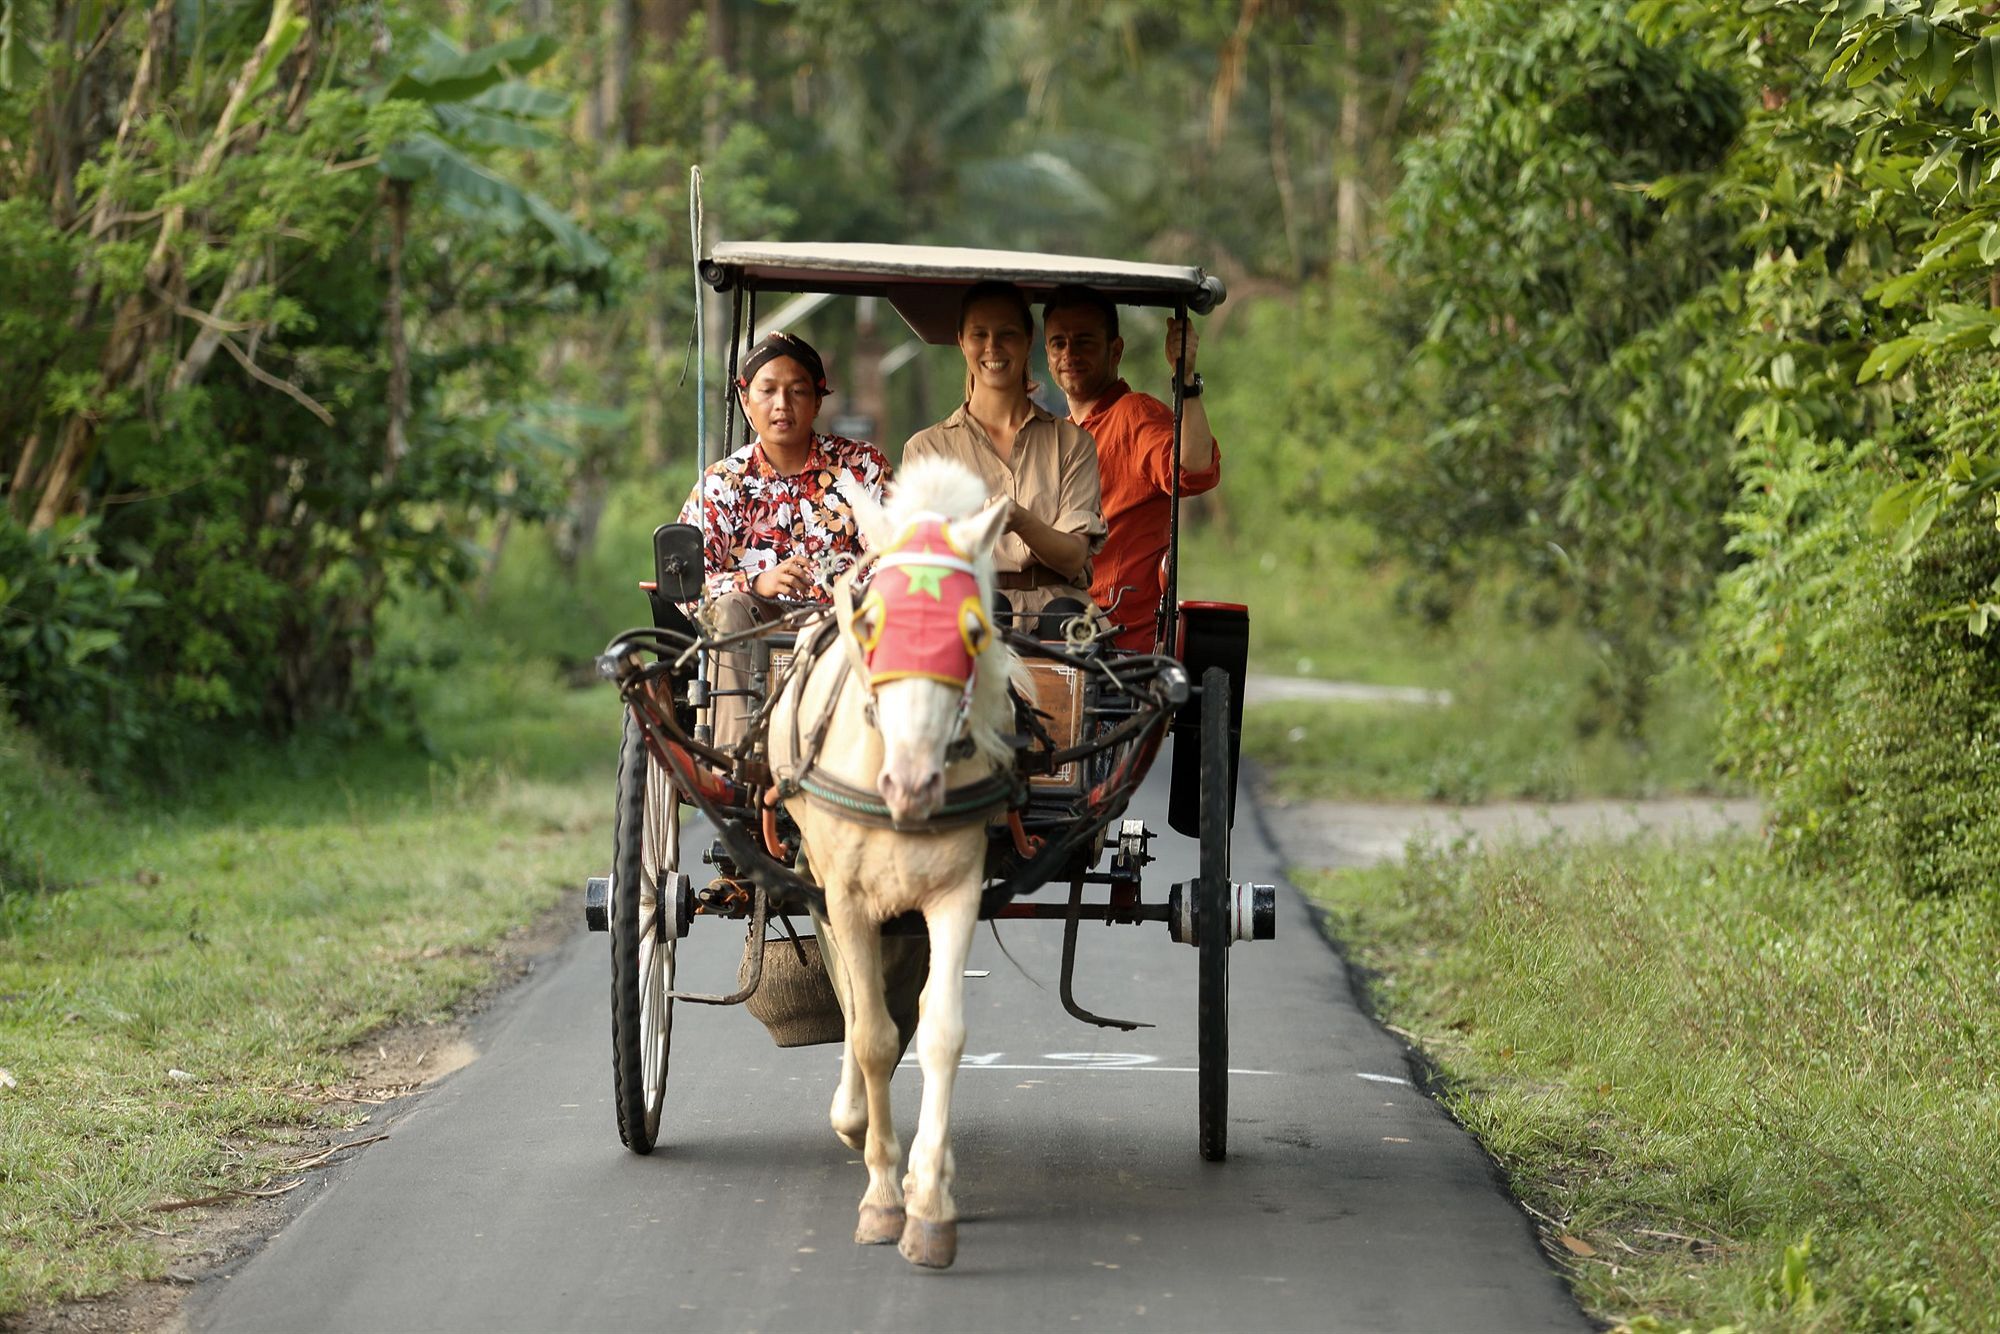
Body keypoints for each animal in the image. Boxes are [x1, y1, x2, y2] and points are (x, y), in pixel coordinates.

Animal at [760, 460, 1016, 1272]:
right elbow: (870, 1032)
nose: (910, 785)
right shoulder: (842, 892)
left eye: (974, 630)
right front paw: (880, 1194)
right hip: (816, 872)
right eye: (872, 624)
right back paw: (855, 1122)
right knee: (853, 999)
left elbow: (941, 1031)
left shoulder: (957, 890)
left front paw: (928, 1199)